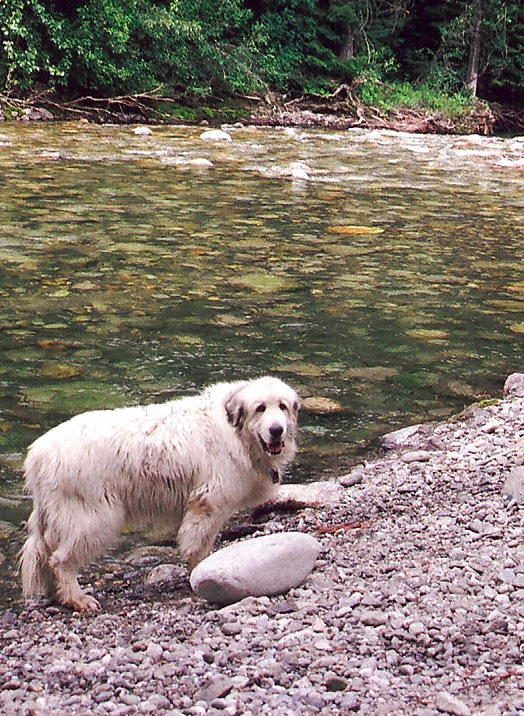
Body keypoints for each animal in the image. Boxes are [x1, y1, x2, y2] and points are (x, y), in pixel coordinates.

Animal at [21, 374, 298, 608]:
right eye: (260, 408)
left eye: (282, 406)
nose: (276, 430)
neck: (235, 431)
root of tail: (38, 454)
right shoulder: (209, 502)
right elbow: (198, 545)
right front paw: (200, 572)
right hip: (94, 518)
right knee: (60, 560)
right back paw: (76, 598)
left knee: (45, 555)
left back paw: (55, 593)